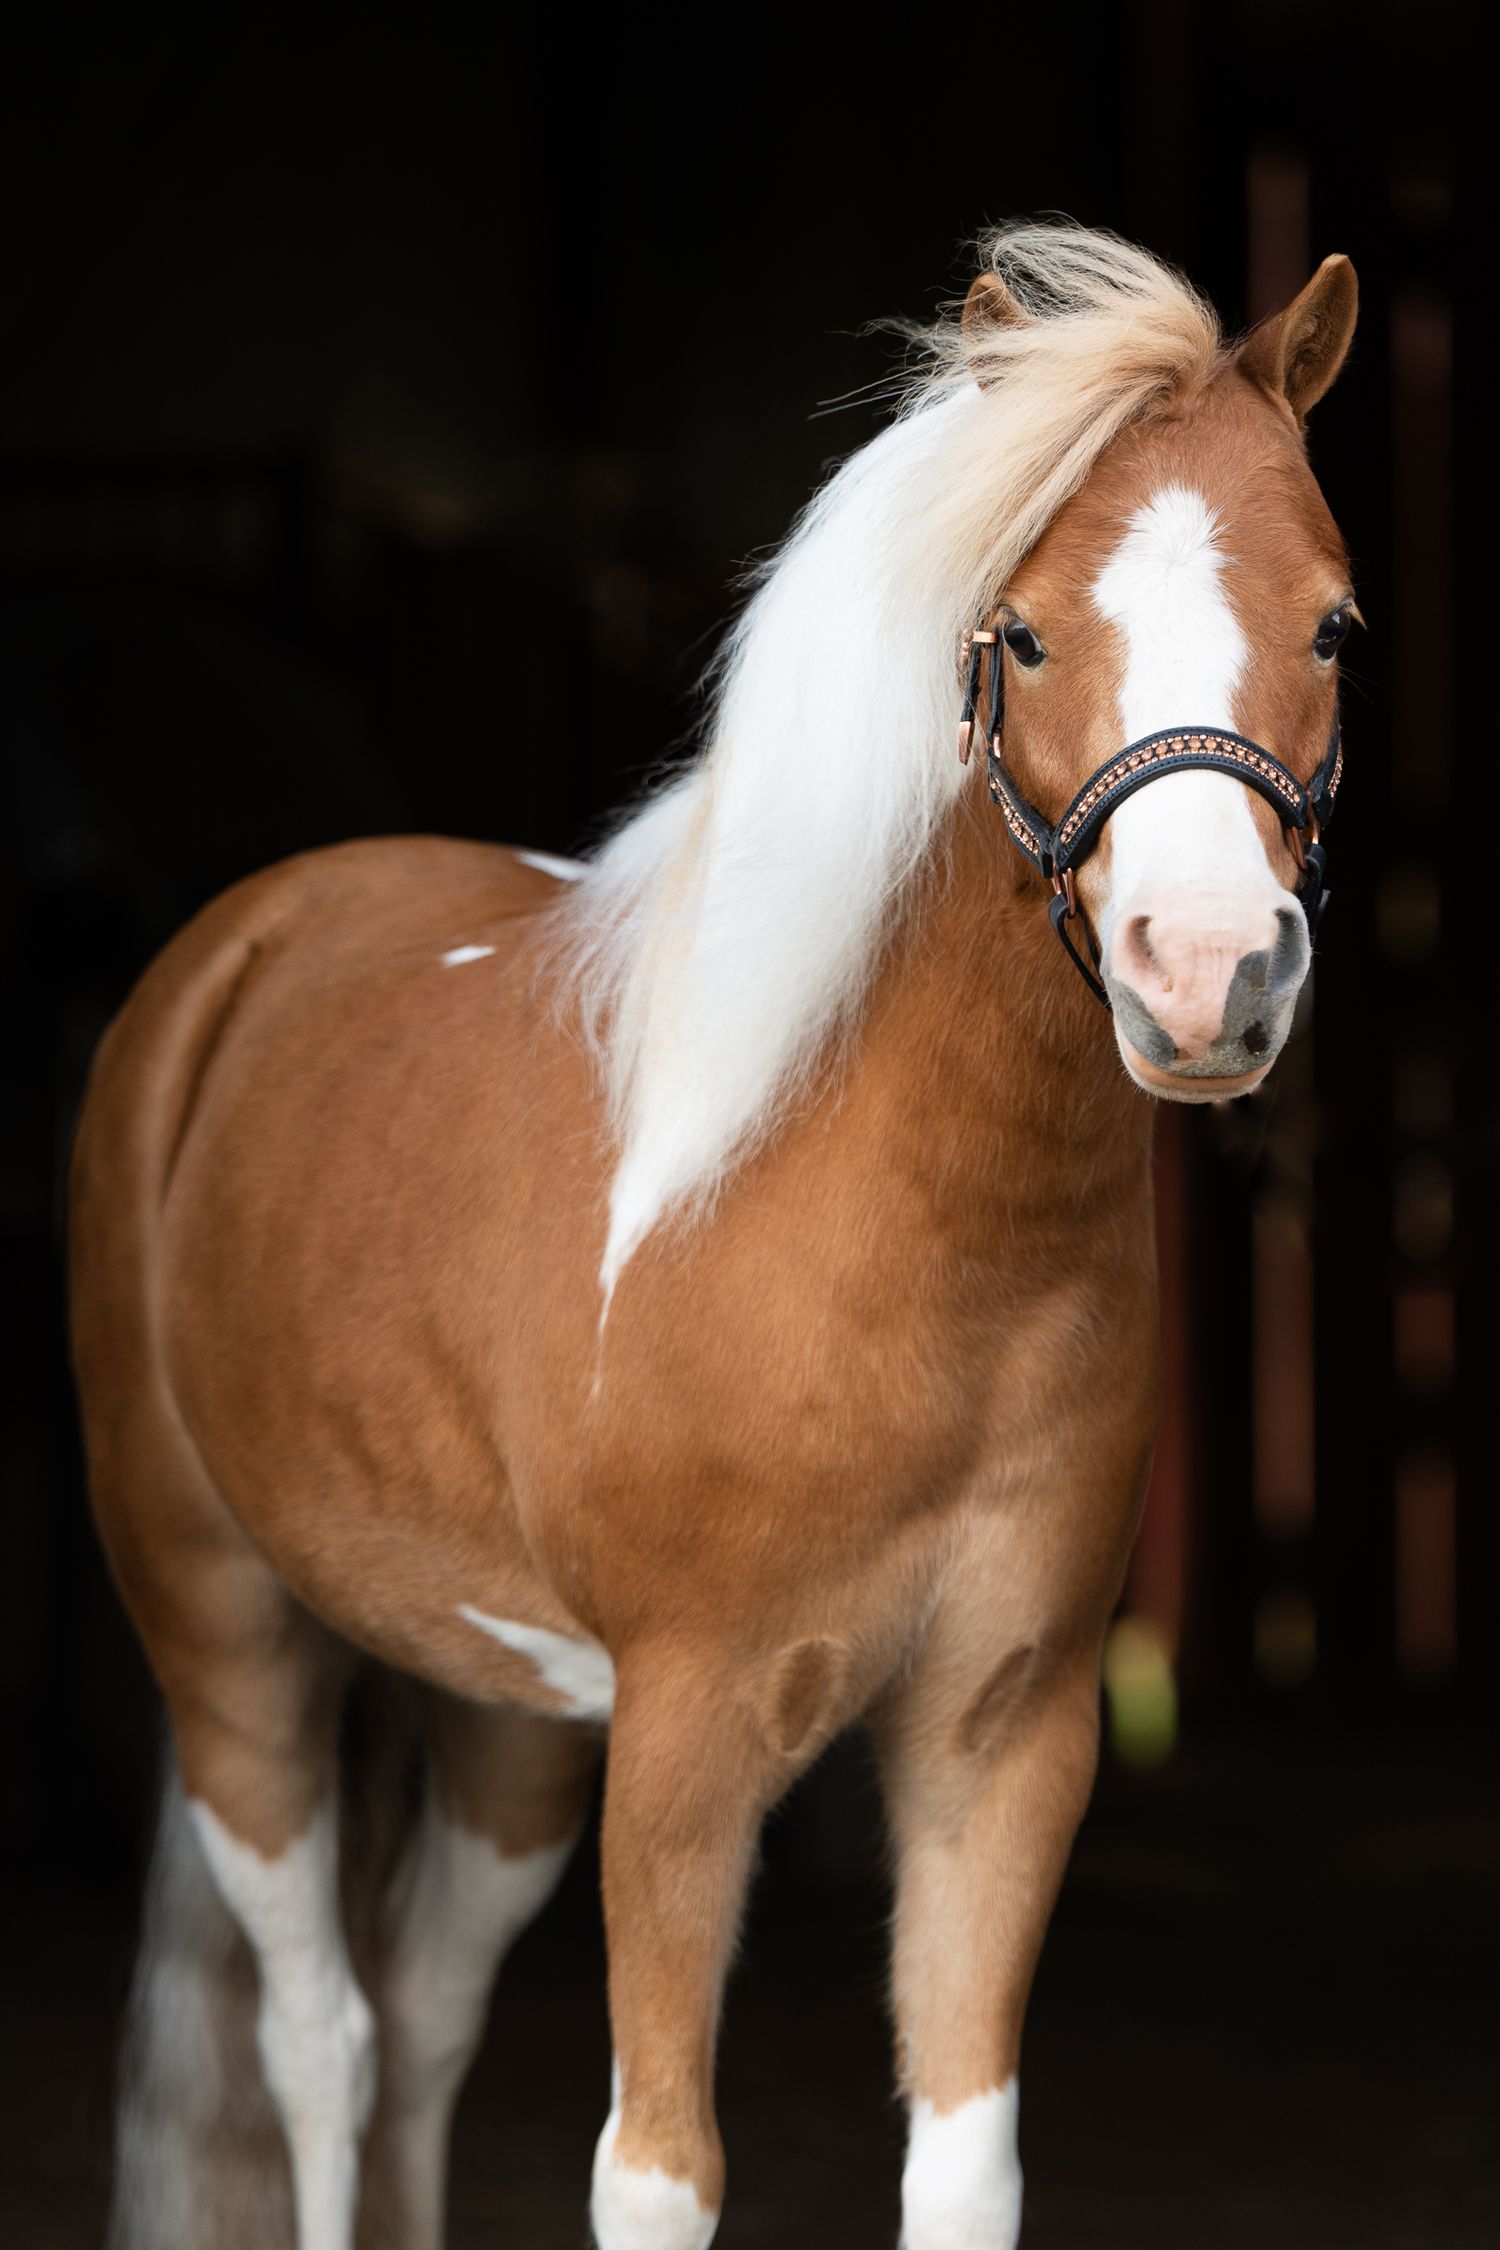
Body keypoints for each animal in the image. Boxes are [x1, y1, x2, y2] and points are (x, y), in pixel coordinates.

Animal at [70, 224, 1358, 2250]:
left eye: (1334, 629)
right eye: (1021, 633)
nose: (1208, 969)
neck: (913, 1239)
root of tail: (241, 951)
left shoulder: (1003, 1745)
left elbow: (964, 2166)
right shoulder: (684, 1752)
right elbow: (656, 2174)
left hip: (512, 1721)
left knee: (418, 2021)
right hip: (229, 1641)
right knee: (323, 2044)